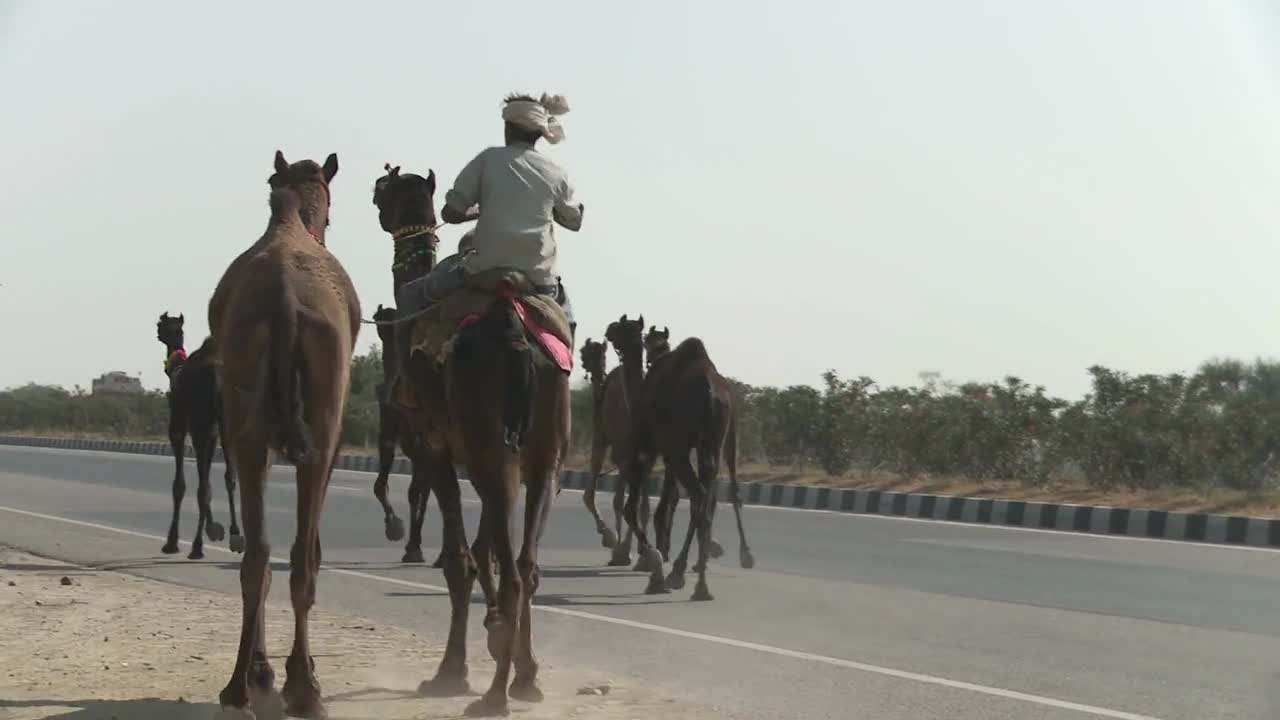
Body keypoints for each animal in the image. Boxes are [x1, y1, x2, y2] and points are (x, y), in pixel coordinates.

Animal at [155, 311, 241, 558]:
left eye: (161, 324)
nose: (158, 332)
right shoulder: (210, 431)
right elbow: (207, 479)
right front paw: (215, 529)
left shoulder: (181, 426)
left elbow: (181, 484)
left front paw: (172, 542)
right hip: (225, 423)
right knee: (230, 477)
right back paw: (236, 536)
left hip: (200, 422)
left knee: (203, 484)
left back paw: (195, 546)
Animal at [208, 148, 360, 712]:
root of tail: (285, 301)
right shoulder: (328, 442)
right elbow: (309, 548)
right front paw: (289, 673)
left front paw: (261, 672)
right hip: (319, 425)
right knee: (300, 558)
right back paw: (304, 686)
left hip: (248, 425)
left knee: (259, 555)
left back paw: (238, 686)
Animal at [606, 315, 747, 599]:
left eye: (623, 326)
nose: (609, 329)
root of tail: (710, 392)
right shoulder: (667, 452)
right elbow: (665, 503)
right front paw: (658, 558)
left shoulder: (648, 449)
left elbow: (635, 508)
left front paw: (653, 561)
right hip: (712, 444)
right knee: (706, 498)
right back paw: (700, 580)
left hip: (683, 447)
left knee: (699, 496)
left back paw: (682, 573)